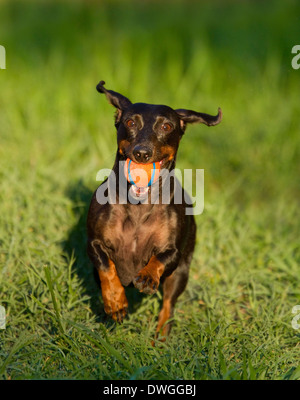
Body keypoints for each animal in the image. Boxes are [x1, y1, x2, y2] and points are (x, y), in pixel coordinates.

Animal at [85, 80, 221, 340]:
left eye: (166, 126)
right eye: (130, 122)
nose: (142, 152)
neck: (139, 206)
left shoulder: (174, 252)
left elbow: (160, 258)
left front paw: (147, 277)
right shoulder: (94, 244)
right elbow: (107, 268)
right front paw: (116, 302)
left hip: (181, 273)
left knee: (168, 305)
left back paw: (160, 337)